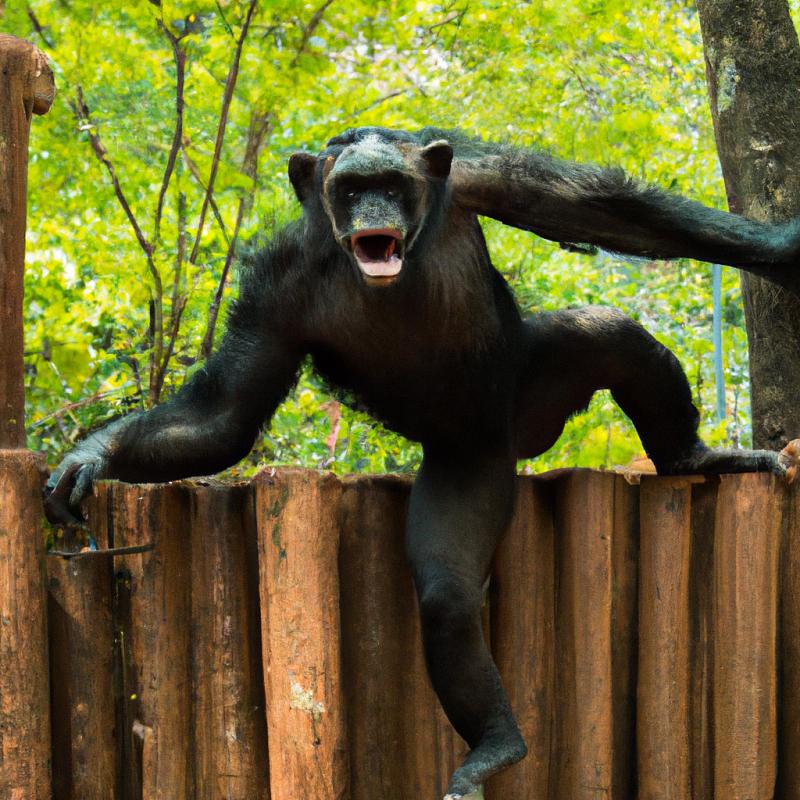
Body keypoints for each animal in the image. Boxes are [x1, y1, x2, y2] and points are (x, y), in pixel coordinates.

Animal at [45, 126, 800, 800]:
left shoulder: (478, 176)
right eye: (352, 189)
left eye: (391, 183)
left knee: (609, 335)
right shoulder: (275, 288)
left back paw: (693, 454)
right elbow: (224, 414)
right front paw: (90, 456)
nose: (374, 209)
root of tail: (521, 440)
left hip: (525, 390)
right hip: (468, 462)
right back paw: (496, 744)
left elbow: (595, 209)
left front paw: (783, 246)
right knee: (447, 597)